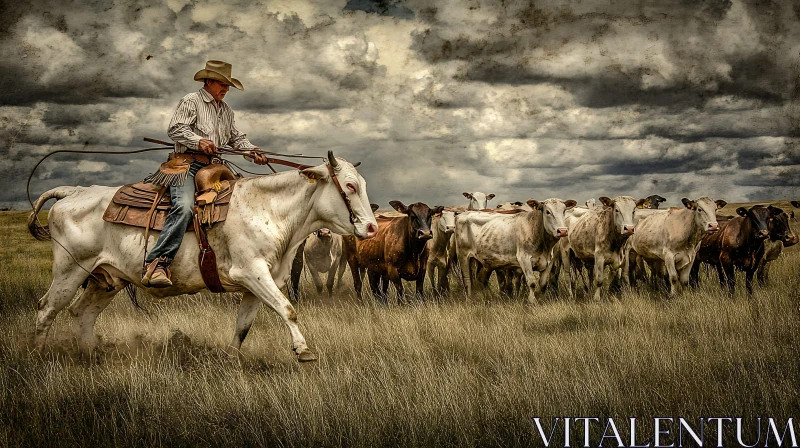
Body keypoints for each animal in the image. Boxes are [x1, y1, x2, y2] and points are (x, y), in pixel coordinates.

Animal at [25, 152, 376, 362]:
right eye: (348, 186)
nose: (372, 227)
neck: (268, 209)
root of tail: (74, 192)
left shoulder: (258, 284)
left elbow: (244, 326)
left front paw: (231, 359)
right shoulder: (251, 272)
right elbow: (288, 310)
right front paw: (303, 351)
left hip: (106, 280)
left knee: (83, 313)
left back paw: (90, 355)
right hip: (70, 272)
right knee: (47, 309)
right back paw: (38, 356)